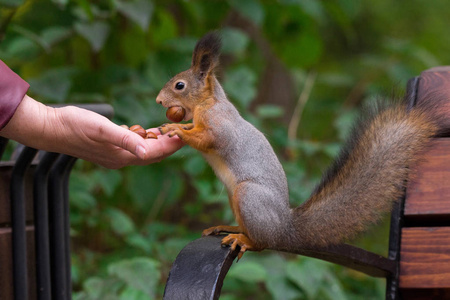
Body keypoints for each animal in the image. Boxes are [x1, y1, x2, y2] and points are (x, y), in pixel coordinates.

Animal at [156, 31, 448, 258]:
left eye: (179, 85)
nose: (159, 101)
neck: (208, 102)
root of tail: (285, 230)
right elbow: (194, 130)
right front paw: (175, 127)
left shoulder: (219, 124)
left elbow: (209, 139)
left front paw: (175, 129)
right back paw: (231, 228)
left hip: (248, 195)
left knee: (263, 243)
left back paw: (243, 239)